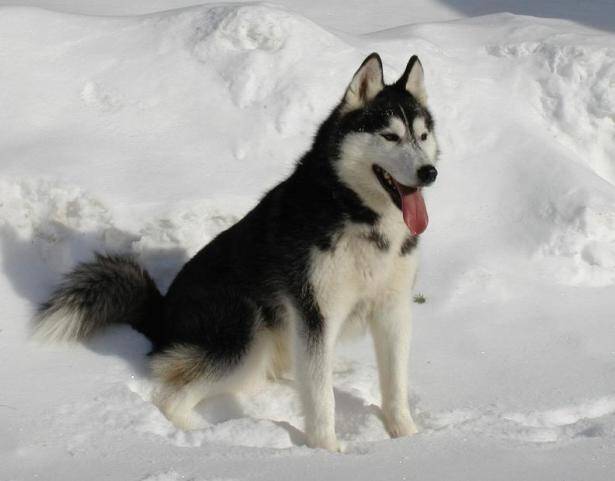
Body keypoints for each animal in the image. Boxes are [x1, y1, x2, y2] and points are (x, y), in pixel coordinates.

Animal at [35, 54, 438, 452]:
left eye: (422, 136)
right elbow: (322, 400)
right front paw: (326, 452)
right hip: (246, 335)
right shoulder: (315, 315)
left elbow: (395, 386)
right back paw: (207, 437)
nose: (429, 172)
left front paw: (408, 438)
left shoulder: (392, 310)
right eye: (390, 136)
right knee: (172, 397)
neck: (358, 215)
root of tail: (162, 312)